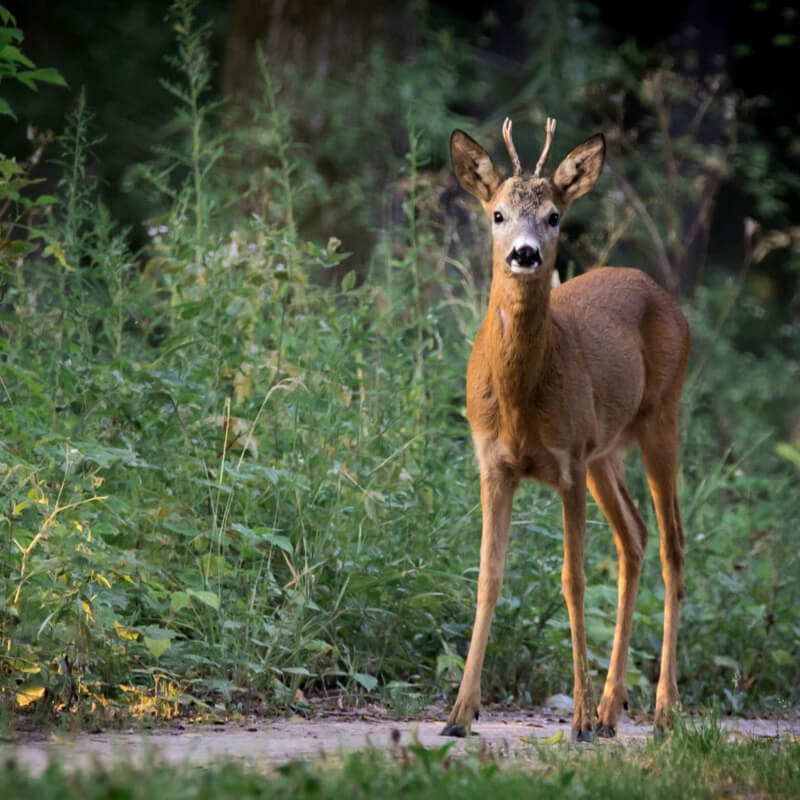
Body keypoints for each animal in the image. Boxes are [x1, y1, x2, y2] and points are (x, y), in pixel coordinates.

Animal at [440, 115, 692, 740]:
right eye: (497, 213)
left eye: (554, 215)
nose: (527, 254)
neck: (520, 402)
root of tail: (664, 295)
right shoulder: (493, 463)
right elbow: (488, 576)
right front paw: (459, 713)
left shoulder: (568, 461)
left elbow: (573, 582)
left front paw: (574, 718)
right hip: (607, 451)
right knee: (635, 537)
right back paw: (609, 709)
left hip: (661, 416)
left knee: (672, 544)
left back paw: (661, 708)